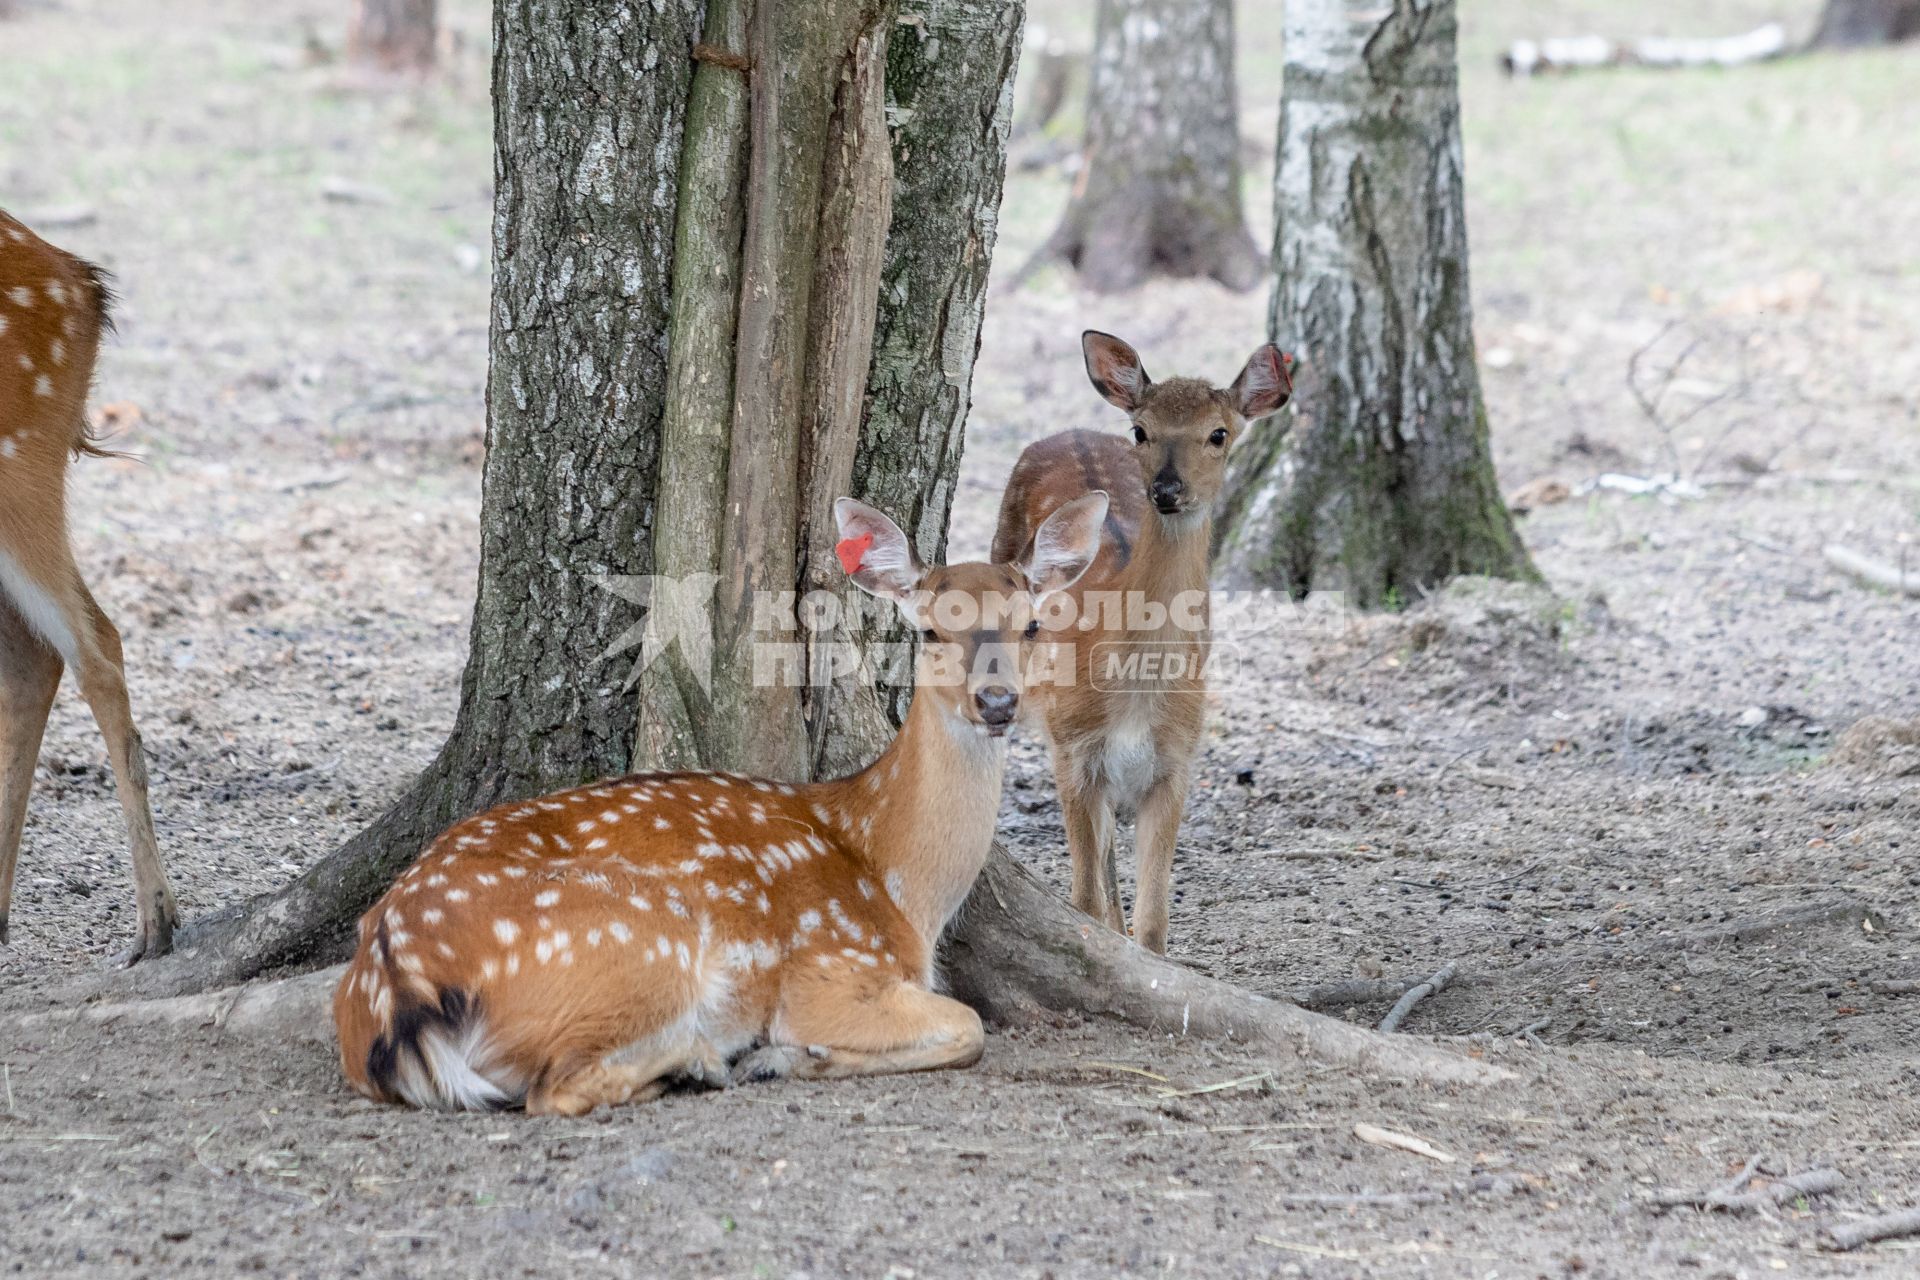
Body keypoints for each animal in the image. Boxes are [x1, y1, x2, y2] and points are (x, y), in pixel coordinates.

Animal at [332, 491, 1113, 1113]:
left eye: (1032, 625)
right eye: (928, 630)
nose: (998, 702)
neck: (895, 882)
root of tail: (394, 986)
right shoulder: (830, 969)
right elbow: (968, 1025)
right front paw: (790, 1055)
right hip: (640, 941)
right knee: (556, 1088)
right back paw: (703, 1061)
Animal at [990, 330, 1290, 951]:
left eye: (1219, 433)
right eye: (1141, 431)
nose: (1167, 489)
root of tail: (1069, 429)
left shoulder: (1177, 760)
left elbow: (1154, 921)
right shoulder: (1073, 745)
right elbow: (1082, 899)